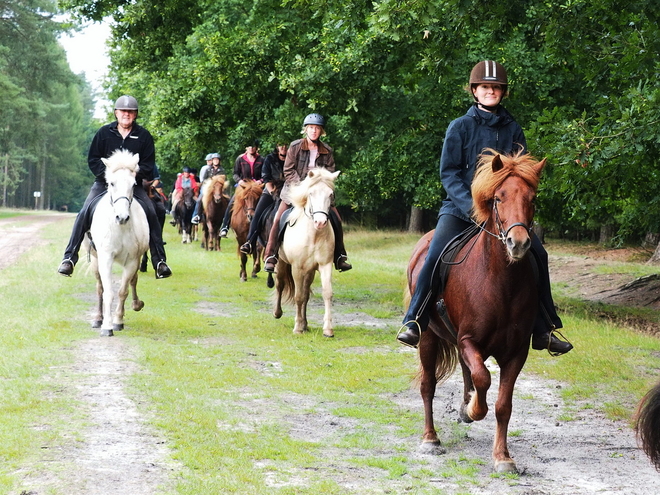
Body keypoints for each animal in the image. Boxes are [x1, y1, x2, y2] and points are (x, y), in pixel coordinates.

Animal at [85, 149, 150, 338]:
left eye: (133, 184)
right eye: (111, 183)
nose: (122, 217)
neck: (120, 228)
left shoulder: (132, 260)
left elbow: (123, 291)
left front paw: (118, 321)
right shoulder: (106, 258)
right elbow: (108, 292)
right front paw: (106, 326)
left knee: (133, 281)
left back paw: (136, 304)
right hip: (95, 259)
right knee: (99, 288)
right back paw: (98, 319)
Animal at [272, 170, 340, 338]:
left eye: (330, 194)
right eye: (311, 193)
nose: (320, 222)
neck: (314, 234)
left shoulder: (325, 265)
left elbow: (326, 293)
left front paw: (328, 329)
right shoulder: (297, 268)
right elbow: (298, 296)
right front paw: (297, 328)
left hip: (310, 271)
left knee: (306, 294)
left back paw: (305, 324)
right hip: (281, 263)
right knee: (280, 284)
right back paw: (278, 313)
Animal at [408, 150, 548, 472]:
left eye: (532, 198)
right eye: (498, 197)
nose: (518, 243)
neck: (501, 283)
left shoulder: (516, 351)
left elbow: (503, 404)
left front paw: (503, 457)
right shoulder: (468, 340)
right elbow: (483, 378)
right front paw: (473, 410)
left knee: (464, 370)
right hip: (428, 336)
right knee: (428, 385)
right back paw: (430, 439)